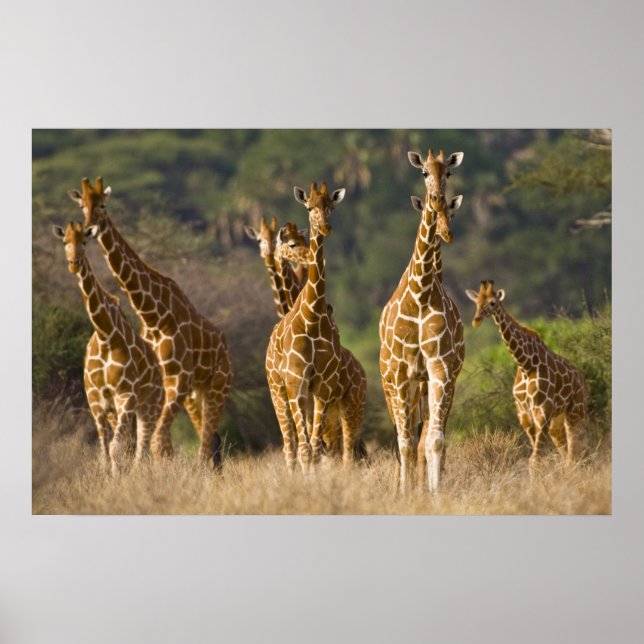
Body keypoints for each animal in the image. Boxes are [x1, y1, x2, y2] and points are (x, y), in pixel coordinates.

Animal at [53, 222, 164, 475]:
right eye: (65, 241)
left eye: (85, 241)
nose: (73, 263)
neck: (106, 335)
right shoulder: (96, 400)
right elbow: (105, 450)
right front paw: (108, 475)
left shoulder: (126, 395)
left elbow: (116, 448)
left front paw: (116, 479)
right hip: (121, 410)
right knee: (131, 444)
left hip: (150, 405)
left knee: (142, 448)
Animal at [68, 177, 233, 469]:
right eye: (82, 206)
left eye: (103, 205)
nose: (89, 229)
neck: (153, 315)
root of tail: (225, 348)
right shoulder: (164, 384)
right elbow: (156, 444)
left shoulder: (177, 379)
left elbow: (157, 443)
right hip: (195, 396)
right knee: (207, 441)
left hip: (217, 387)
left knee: (204, 445)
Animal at [265, 182, 345, 472]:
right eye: (309, 207)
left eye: (330, 206)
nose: (325, 227)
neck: (312, 315)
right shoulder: (296, 383)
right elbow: (304, 449)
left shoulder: (322, 387)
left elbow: (315, 449)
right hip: (278, 389)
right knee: (290, 446)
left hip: (307, 397)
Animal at [465, 281, 588, 472]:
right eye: (477, 302)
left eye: (493, 303)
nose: (476, 320)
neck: (526, 364)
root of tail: (581, 379)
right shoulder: (523, 412)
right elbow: (537, 457)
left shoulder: (543, 408)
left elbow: (535, 459)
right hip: (557, 420)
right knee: (567, 451)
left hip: (575, 410)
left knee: (575, 451)